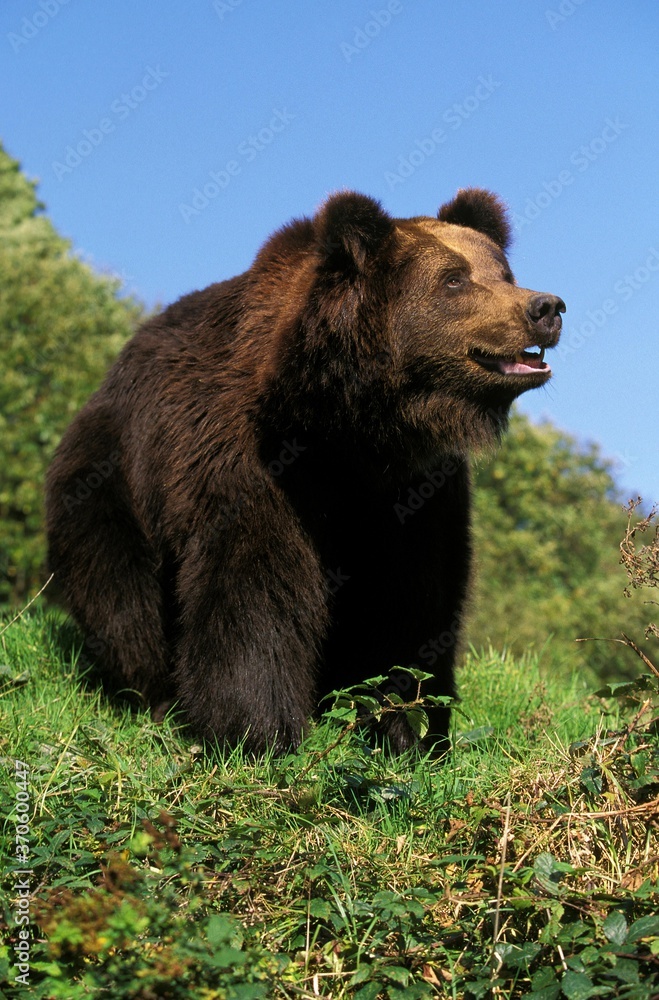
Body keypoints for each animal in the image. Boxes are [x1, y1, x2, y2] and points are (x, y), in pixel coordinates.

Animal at [45, 188, 564, 755]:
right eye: (454, 278)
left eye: (503, 273)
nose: (546, 307)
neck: (351, 425)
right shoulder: (255, 461)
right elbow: (255, 585)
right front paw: (256, 729)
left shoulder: (420, 492)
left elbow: (412, 600)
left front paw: (409, 728)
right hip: (112, 475)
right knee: (122, 598)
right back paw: (157, 695)